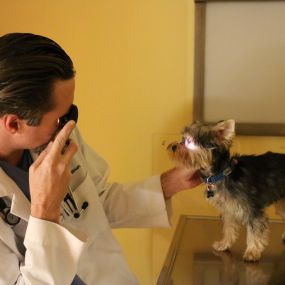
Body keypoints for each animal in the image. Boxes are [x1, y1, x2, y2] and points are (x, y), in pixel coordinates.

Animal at [166, 118, 284, 260]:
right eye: (182, 138)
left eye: (189, 141)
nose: (173, 146)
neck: (221, 174)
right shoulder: (228, 209)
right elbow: (228, 228)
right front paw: (224, 244)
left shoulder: (252, 210)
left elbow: (254, 230)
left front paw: (252, 251)